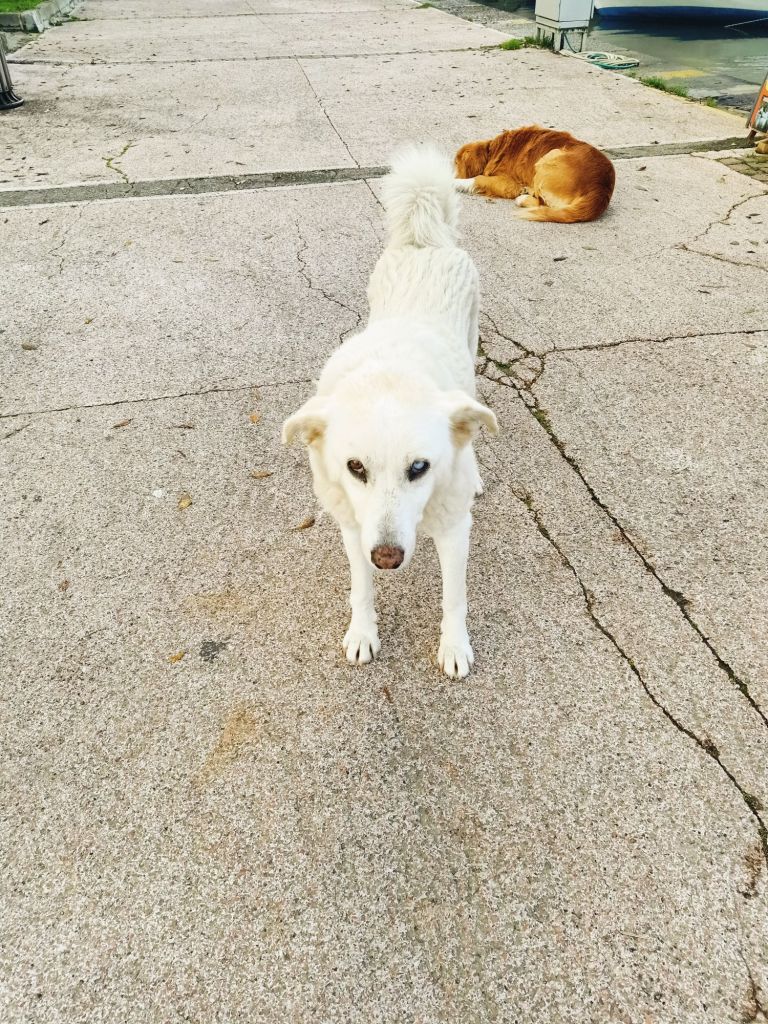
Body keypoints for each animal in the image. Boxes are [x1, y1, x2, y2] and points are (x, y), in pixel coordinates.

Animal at [282, 146, 498, 678]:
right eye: (355, 467)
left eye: (419, 467)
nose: (386, 557)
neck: (389, 375)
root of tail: (426, 240)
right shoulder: (353, 526)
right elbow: (360, 590)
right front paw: (362, 633)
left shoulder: (454, 530)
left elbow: (454, 598)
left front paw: (454, 646)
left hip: (473, 345)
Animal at [455, 125, 615, 223]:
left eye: (456, 164)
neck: (494, 149)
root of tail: (600, 190)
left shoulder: (510, 183)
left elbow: (478, 178)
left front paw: (455, 183)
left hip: (550, 157)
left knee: (542, 203)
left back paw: (523, 198)